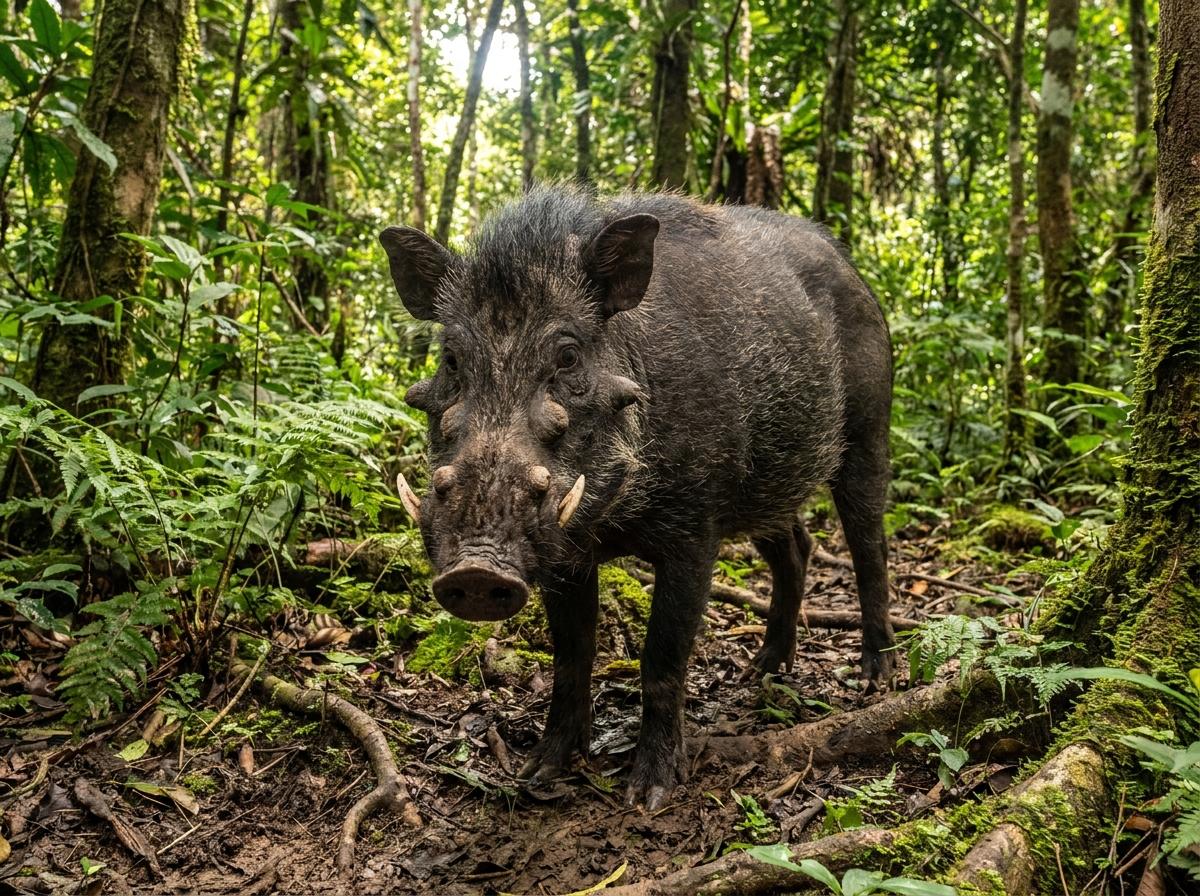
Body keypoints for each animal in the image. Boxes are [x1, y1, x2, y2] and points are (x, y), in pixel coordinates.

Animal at [380, 187, 894, 810]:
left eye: (569, 356)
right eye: (451, 359)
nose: (476, 572)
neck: (615, 520)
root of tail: (845, 260)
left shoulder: (696, 530)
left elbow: (662, 658)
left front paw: (649, 795)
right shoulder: (566, 557)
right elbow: (572, 653)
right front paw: (540, 772)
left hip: (869, 428)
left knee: (868, 545)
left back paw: (877, 678)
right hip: (768, 486)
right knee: (796, 547)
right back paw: (762, 672)